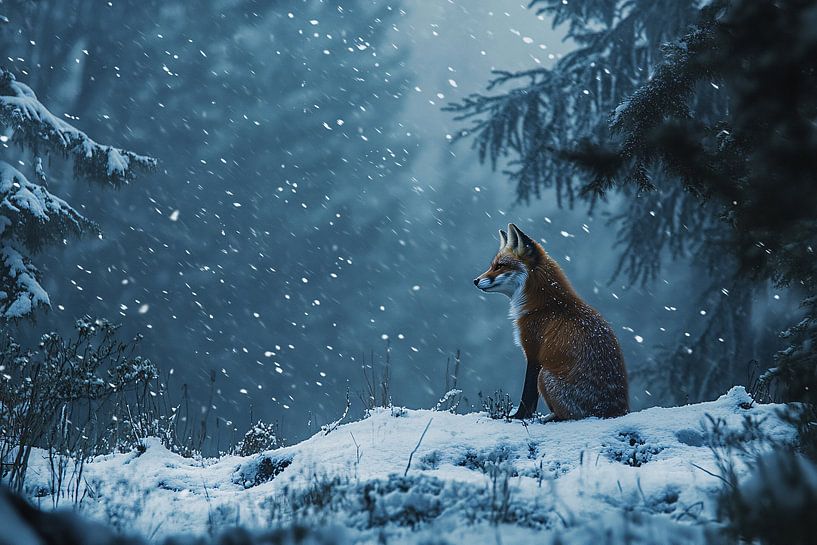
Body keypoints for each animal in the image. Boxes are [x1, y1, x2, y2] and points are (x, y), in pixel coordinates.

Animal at [473, 223, 629, 421]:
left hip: (545, 375)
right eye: (492, 265)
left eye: (500, 266)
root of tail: (616, 412)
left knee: (567, 417)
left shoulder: (533, 353)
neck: (546, 305)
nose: (475, 280)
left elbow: (528, 398)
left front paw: (516, 417)